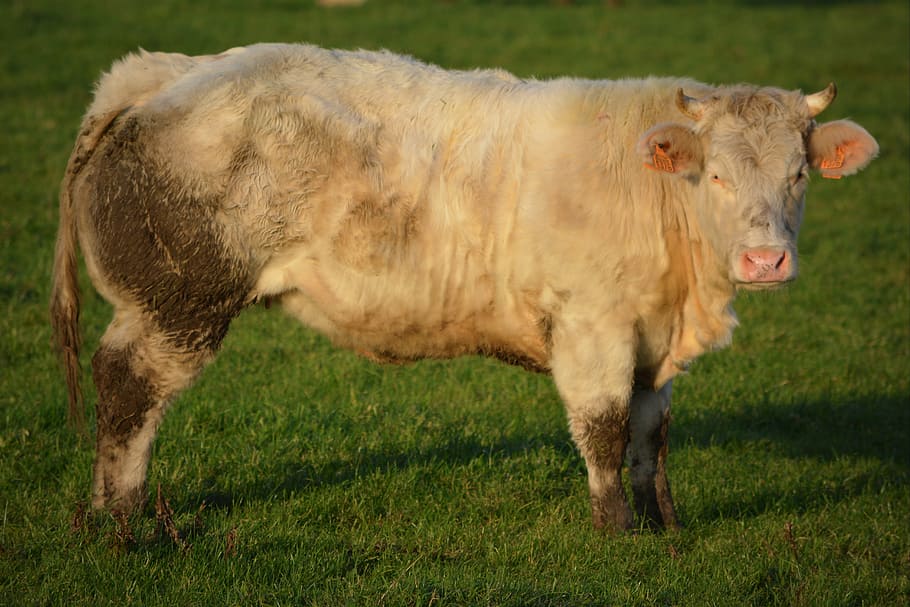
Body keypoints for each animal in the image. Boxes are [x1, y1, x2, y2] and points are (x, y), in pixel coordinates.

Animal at [51, 43, 878, 533]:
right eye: (716, 175)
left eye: (798, 175)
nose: (766, 260)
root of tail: (170, 70)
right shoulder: (592, 326)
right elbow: (605, 428)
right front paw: (616, 530)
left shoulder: (650, 340)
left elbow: (652, 433)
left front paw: (662, 524)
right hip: (178, 302)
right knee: (126, 387)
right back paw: (124, 522)